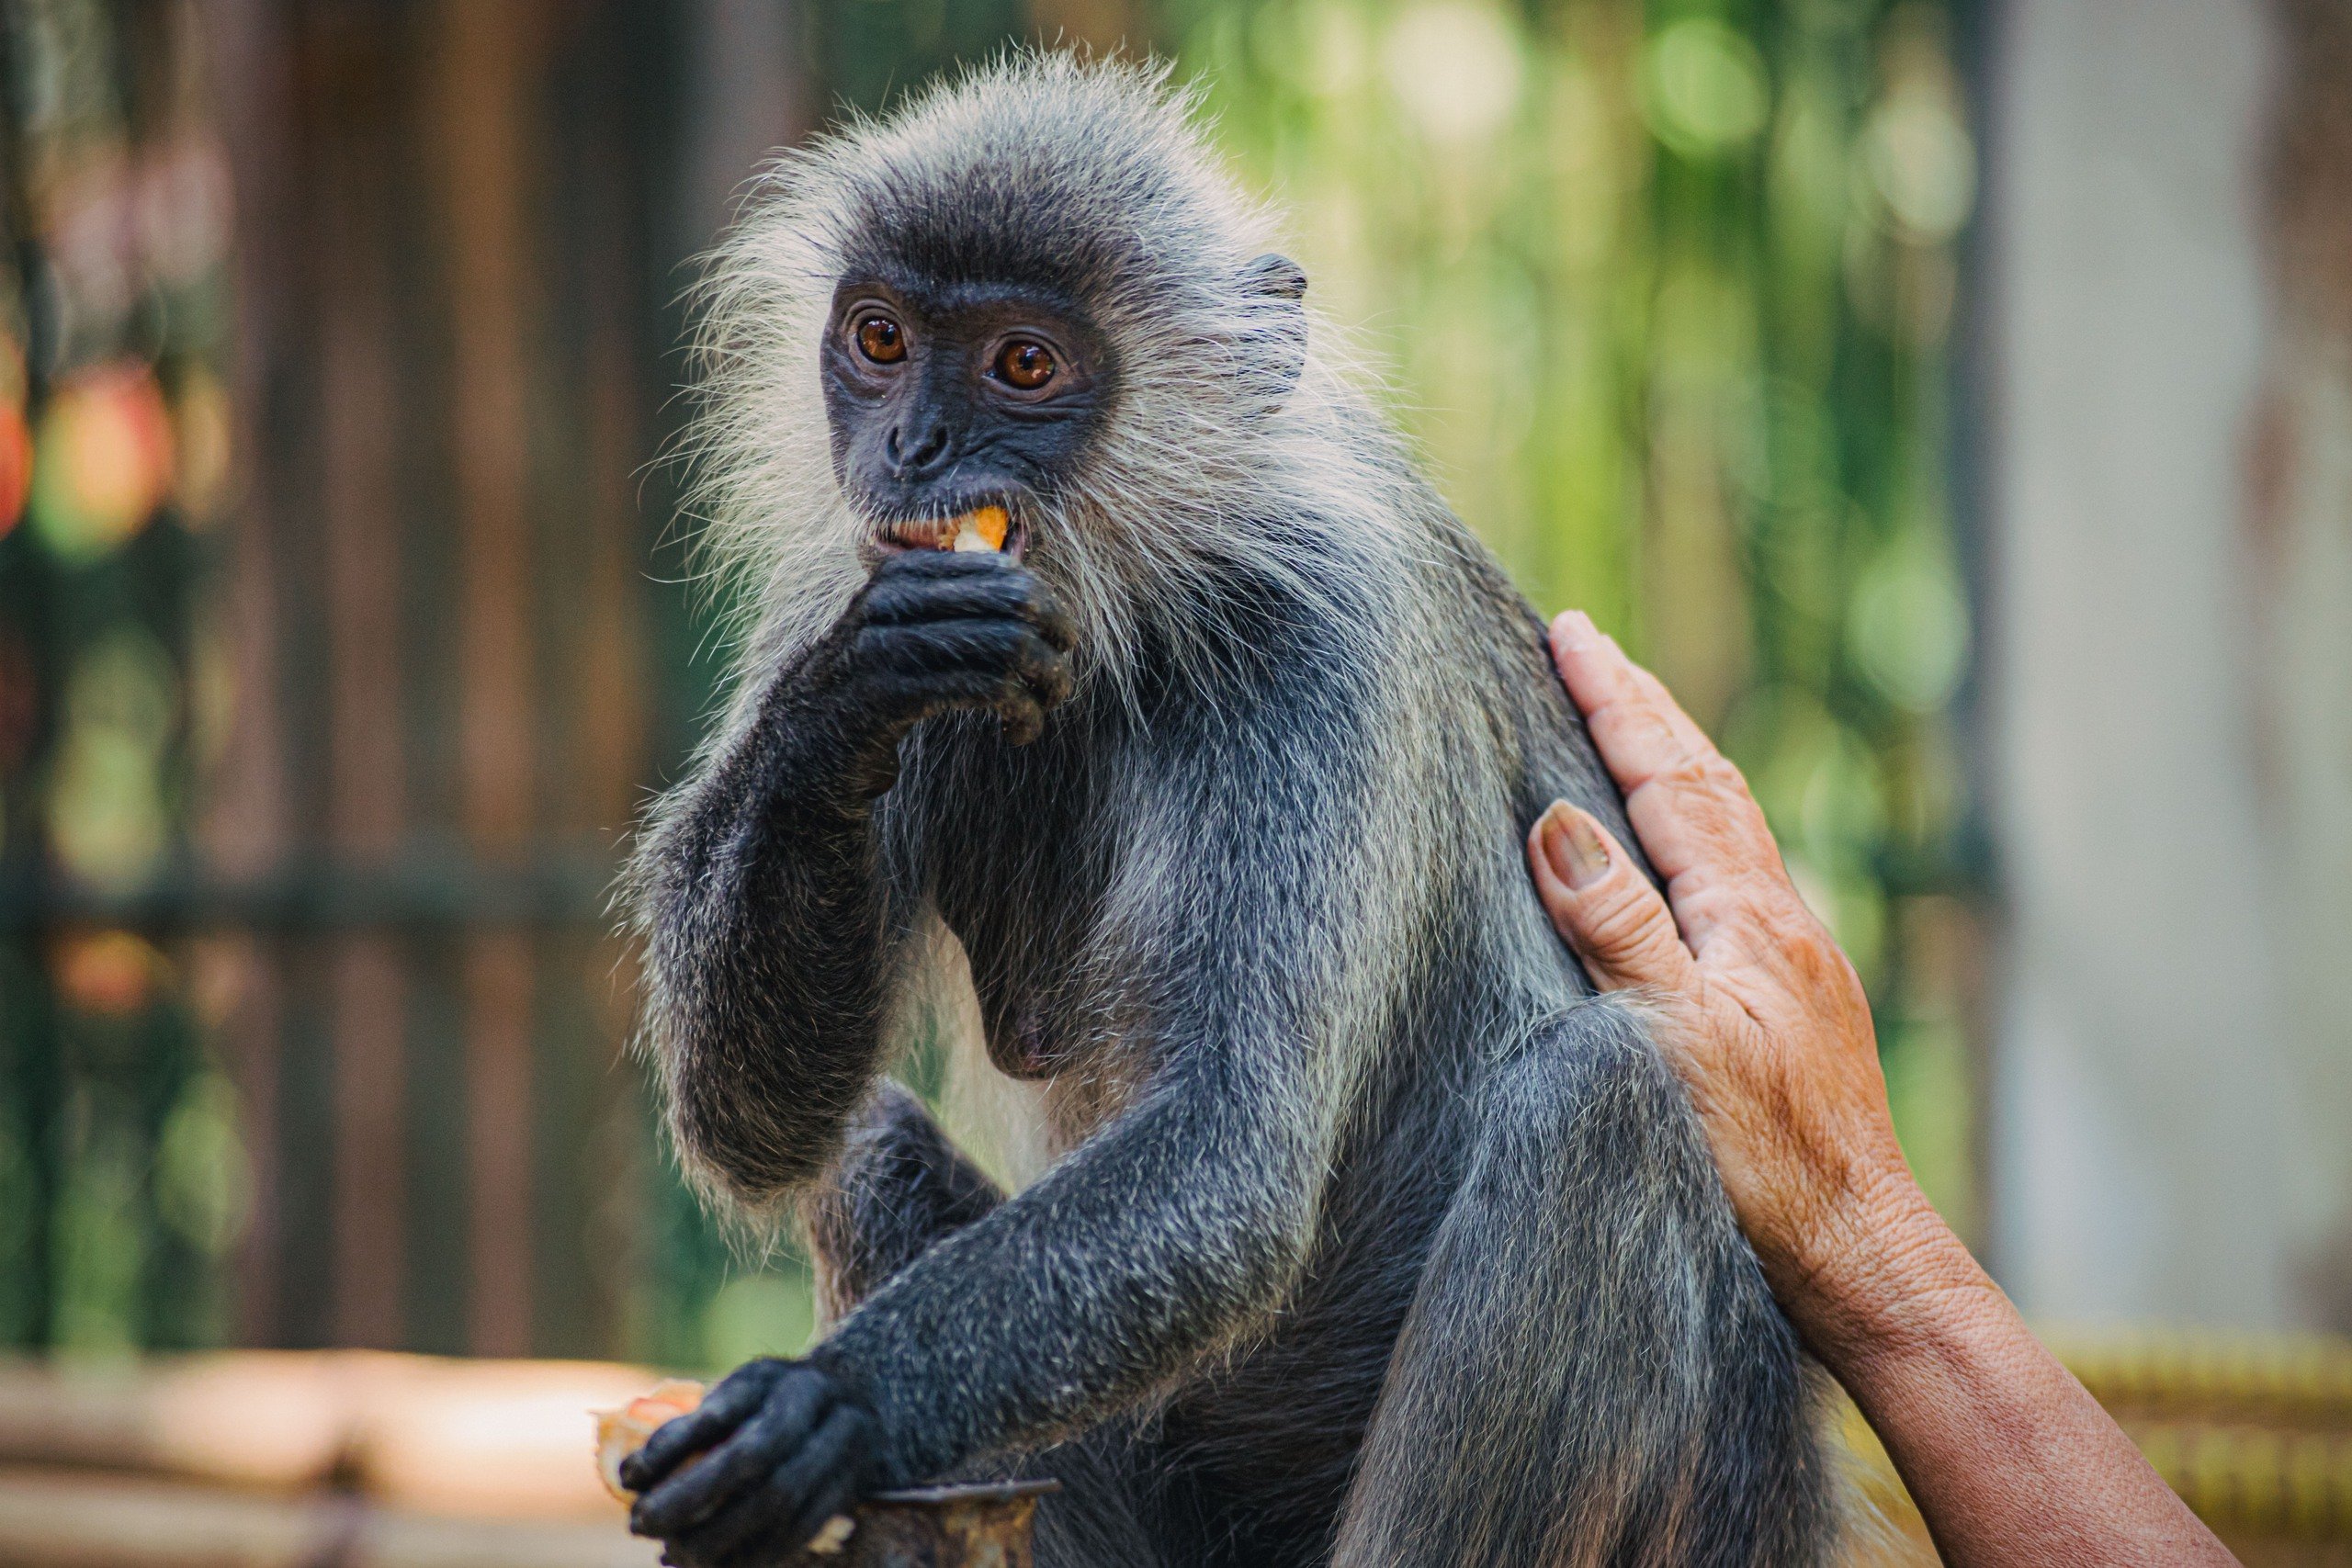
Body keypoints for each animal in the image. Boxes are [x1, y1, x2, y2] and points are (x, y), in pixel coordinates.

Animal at [625, 51, 1834, 1568]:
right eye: (882, 339)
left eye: (1025, 363)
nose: (913, 447)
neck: (1120, 622)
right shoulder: (850, 577)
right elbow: (751, 1123)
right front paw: (852, 693)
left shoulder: (1317, 638)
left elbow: (1228, 1166)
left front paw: (830, 1403)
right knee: (862, 1151)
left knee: (1593, 1104)